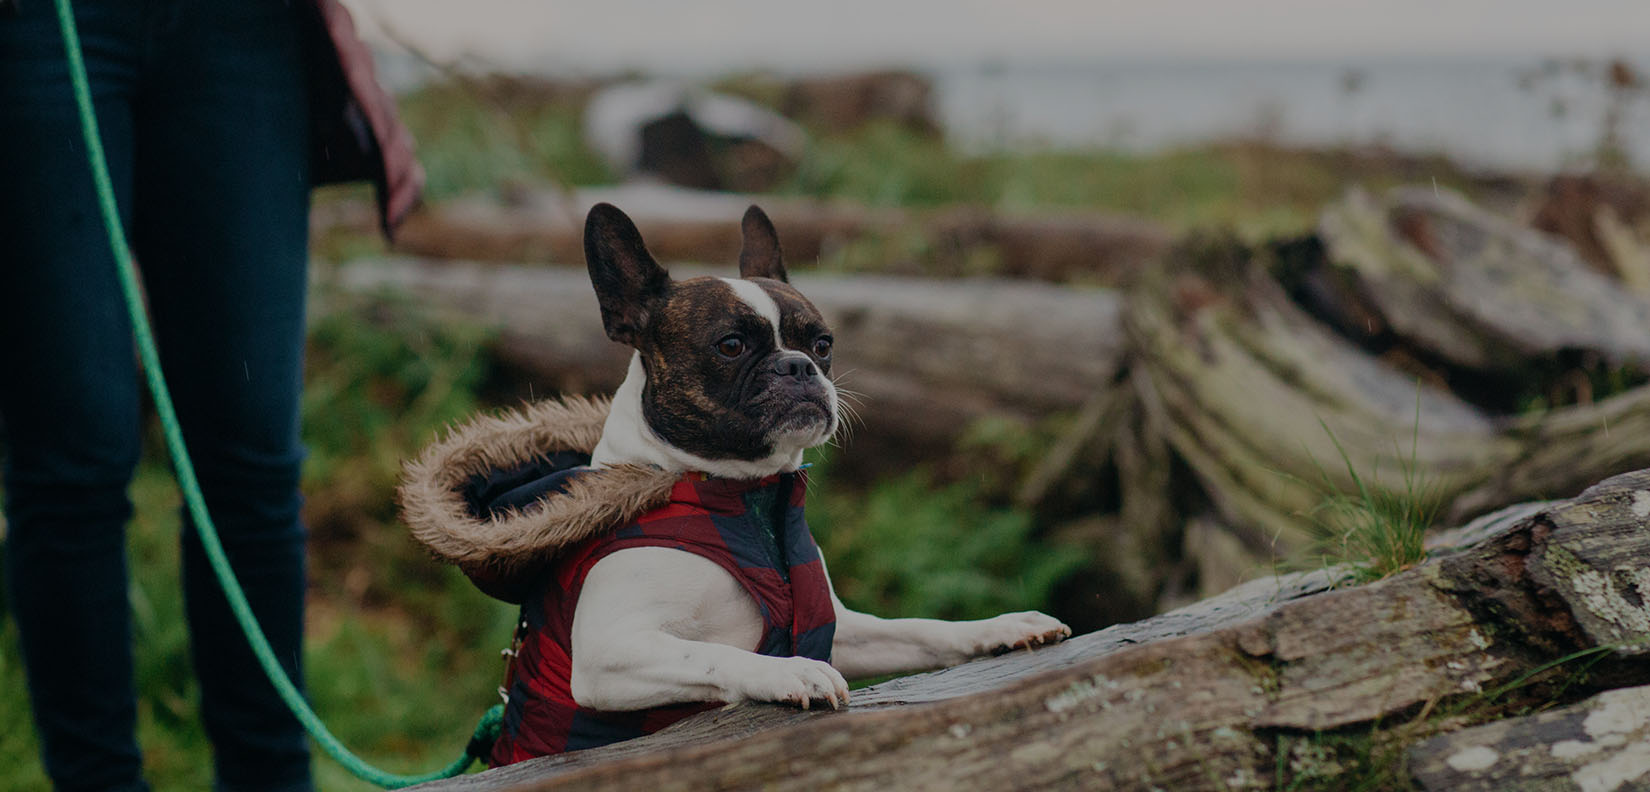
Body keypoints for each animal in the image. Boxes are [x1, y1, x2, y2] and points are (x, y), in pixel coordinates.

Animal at [561, 201, 1075, 716]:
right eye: (731, 345)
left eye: (823, 345)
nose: (799, 365)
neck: (745, 495)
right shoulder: (606, 652)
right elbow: (712, 653)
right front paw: (790, 670)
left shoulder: (841, 630)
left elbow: (920, 629)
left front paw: (1001, 627)